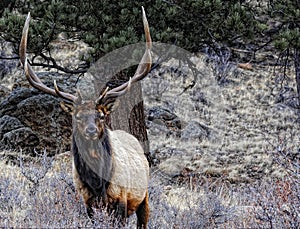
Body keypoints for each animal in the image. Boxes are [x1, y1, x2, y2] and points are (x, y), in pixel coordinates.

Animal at [19, 6, 152, 227]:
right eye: (77, 116)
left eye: (101, 115)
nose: (91, 130)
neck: (98, 183)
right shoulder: (87, 203)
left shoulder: (122, 201)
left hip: (144, 197)